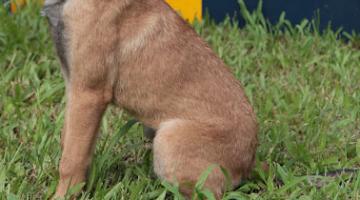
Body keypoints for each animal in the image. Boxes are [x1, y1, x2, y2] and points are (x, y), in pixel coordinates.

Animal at [42, 0, 258, 198]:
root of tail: (249, 164)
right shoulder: (73, 85)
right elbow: (67, 142)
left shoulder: (88, 92)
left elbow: (71, 160)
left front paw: (63, 194)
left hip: (168, 139)